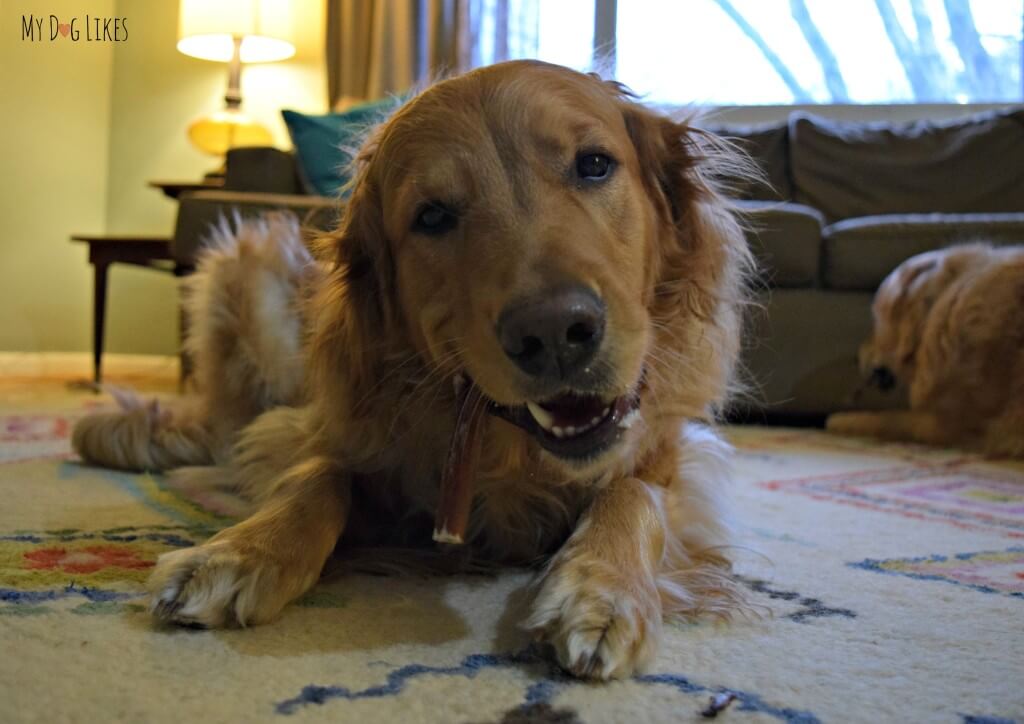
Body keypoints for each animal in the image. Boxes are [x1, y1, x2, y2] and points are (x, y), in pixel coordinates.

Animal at [72, 60, 753, 679]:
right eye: (431, 216)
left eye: (593, 164)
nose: (555, 333)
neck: (512, 450)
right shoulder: (325, 429)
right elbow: (317, 477)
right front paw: (236, 551)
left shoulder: (671, 451)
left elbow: (632, 492)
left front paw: (603, 588)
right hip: (247, 265)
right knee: (220, 422)